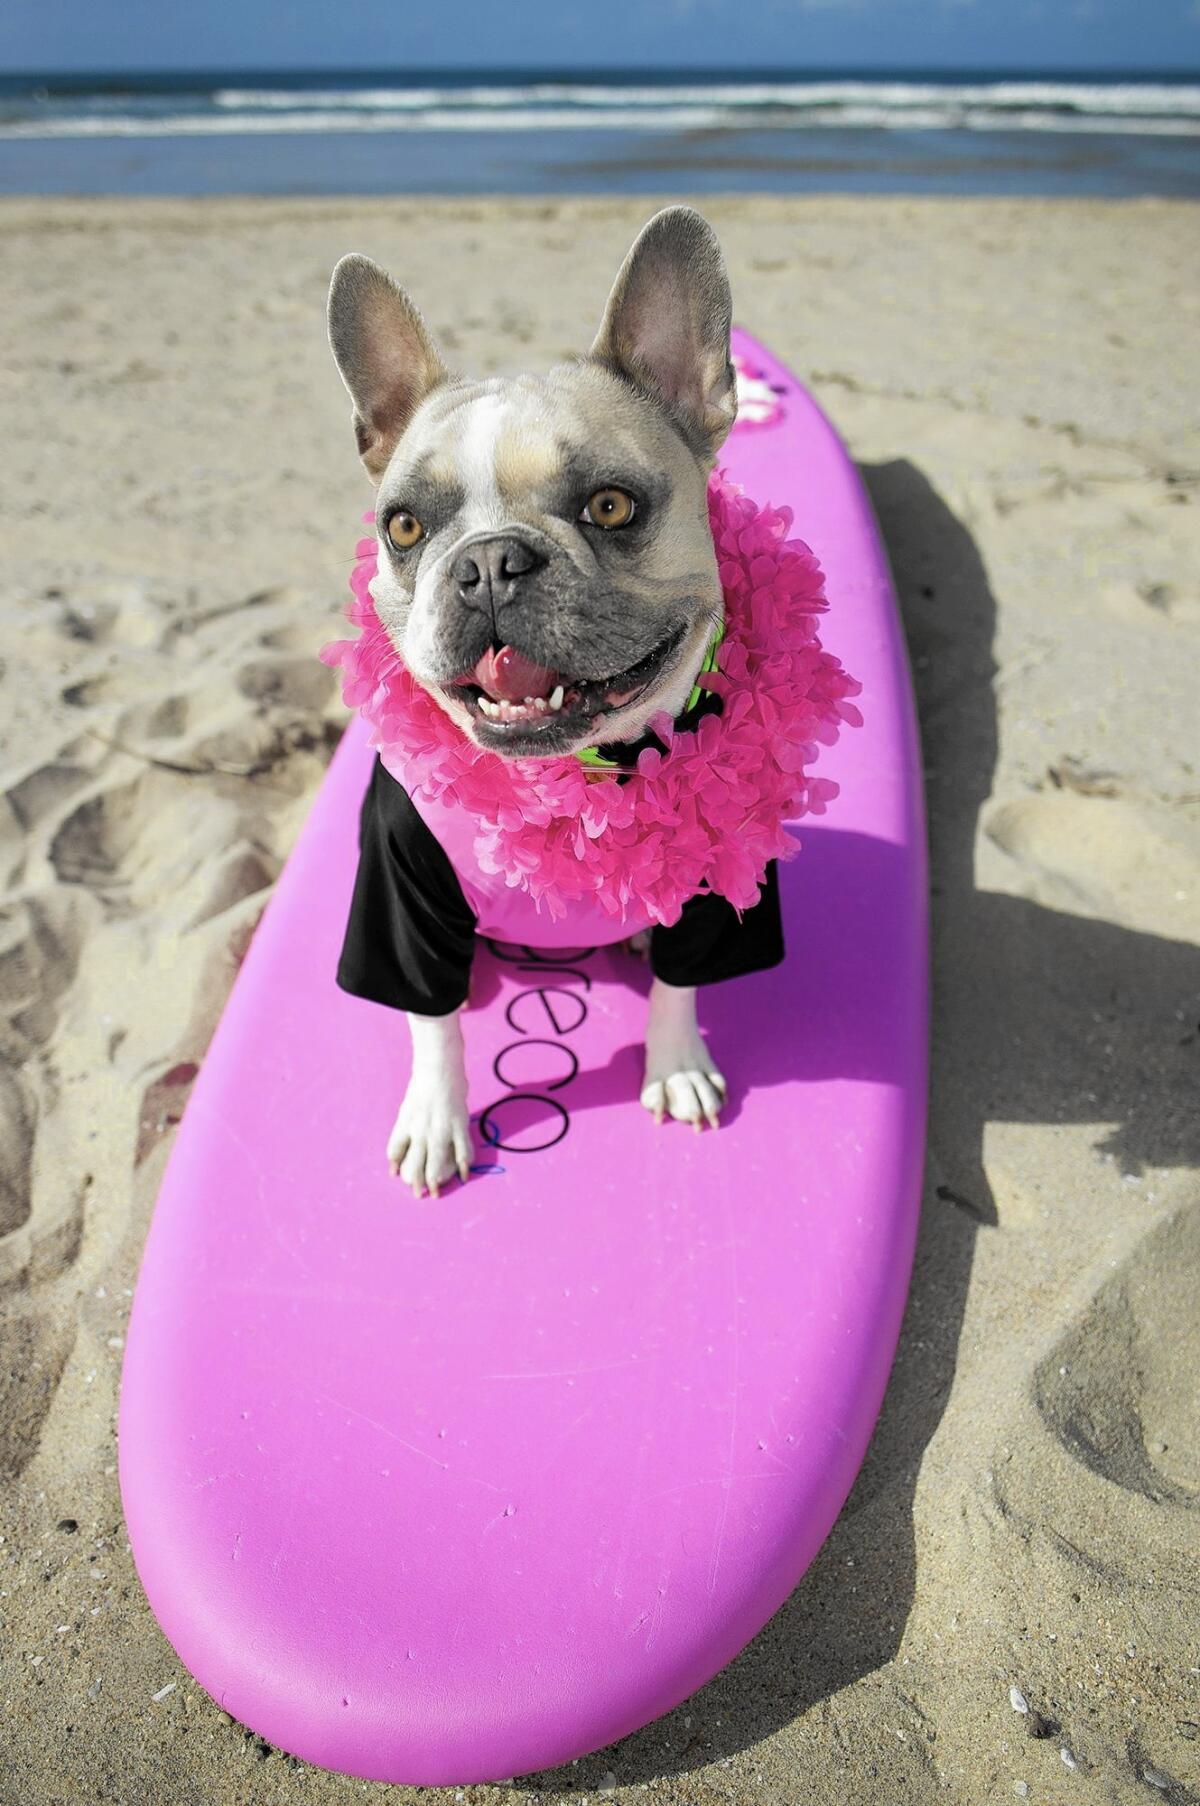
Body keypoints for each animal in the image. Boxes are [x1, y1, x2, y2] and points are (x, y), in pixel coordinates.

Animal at [325, 204, 787, 1199]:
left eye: (610, 506)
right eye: (405, 527)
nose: (488, 562)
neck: (579, 780)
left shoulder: (724, 883)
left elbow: (680, 984)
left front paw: (675, 1066)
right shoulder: (403, 898)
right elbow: (433, 1022)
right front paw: (436, 1116)